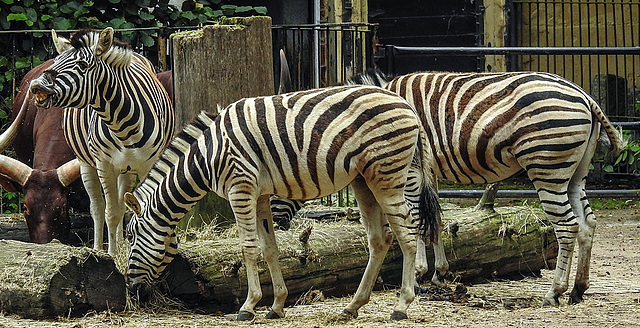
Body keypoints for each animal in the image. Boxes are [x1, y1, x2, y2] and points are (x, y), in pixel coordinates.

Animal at [29, 27, 175, 256]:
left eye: (82, 65)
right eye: (56, 61)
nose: (36, 85)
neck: (124, 126)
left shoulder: (148, 164)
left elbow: (144, 207)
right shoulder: (104, 165)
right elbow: (111, 212)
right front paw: (112, 256)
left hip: (127, 168)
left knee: (123, 203)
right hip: (86, 164)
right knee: (97, 207)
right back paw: (99, 248)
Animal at [123, 84, 442, 320]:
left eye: (131, 236)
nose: (129, 286)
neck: (207, 156)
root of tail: (406, 104)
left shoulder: (241, 187)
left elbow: (248, 248)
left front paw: (248, 307)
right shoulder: (261, 194)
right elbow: (270, 249)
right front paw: (276, 305)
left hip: (386, 174)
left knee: (407, 234)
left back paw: (401, 306)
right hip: (363, 180)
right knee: (379, 239)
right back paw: (352, 306)